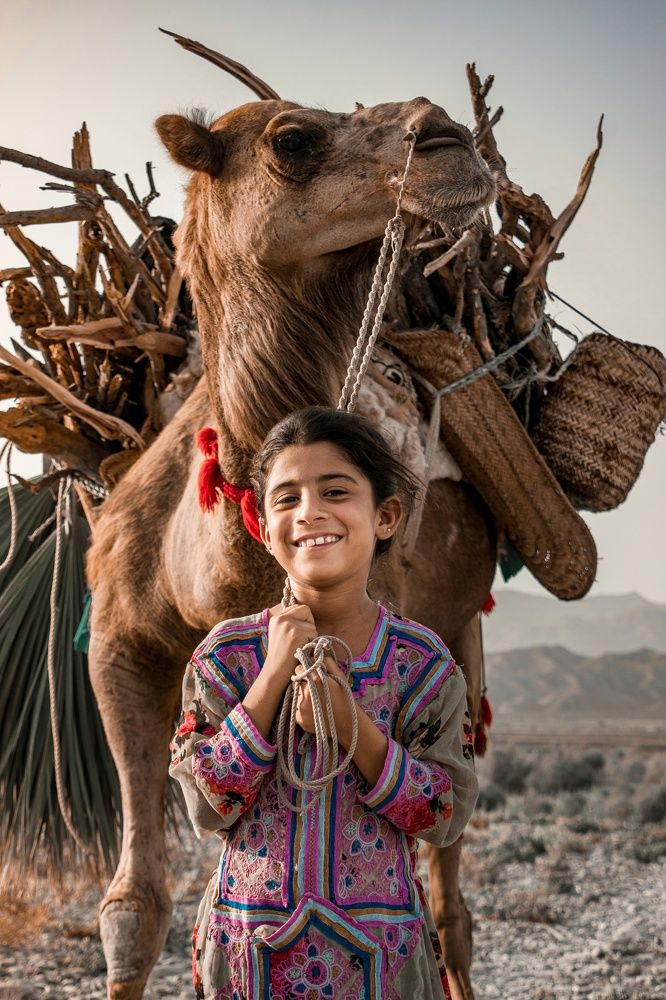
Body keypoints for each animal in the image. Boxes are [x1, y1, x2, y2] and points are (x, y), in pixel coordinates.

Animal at [86, 93, 505, 1000]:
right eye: (293, 138)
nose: (450, 141)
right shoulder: (116, 643)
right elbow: (132, 909)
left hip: (464, 631)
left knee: (449, 884)